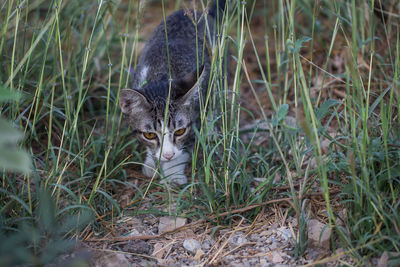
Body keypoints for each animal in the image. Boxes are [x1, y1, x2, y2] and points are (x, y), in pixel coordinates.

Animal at [119, 0, 227, 185]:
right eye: (149, 134)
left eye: (180, 131)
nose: (168, 155)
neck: (163, 74)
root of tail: (200, 12)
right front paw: (152, 162)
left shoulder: (194, 115)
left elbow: (185, 146)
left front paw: (173, 174)